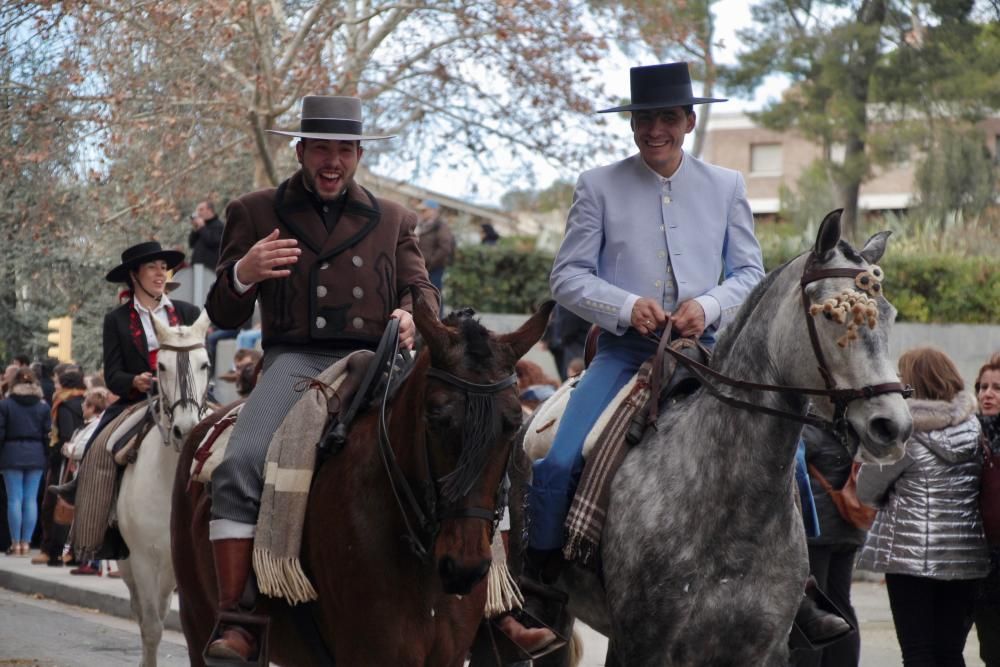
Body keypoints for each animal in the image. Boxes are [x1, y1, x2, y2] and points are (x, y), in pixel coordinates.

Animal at [116, 314, 212, 667]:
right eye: (161, 366)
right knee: (139, 609)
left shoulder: (177, 563)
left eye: (205, 364)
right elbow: (152, 627)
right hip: (127, 561)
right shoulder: (144, 558)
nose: (185, 429)